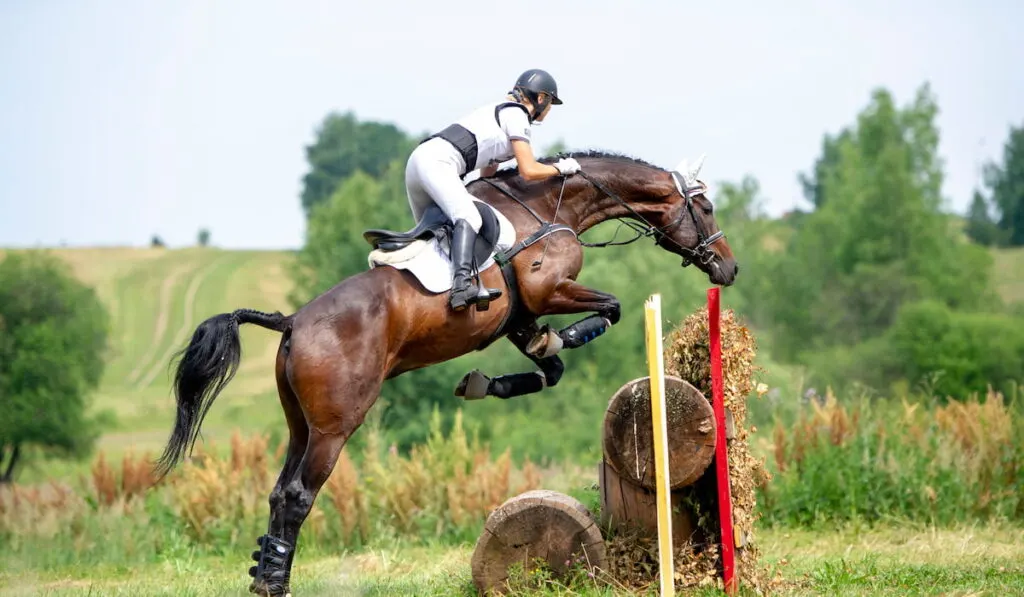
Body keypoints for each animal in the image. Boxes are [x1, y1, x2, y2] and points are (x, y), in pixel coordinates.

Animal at [151, 150, 737, 597]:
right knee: (297, 496)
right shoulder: (548, 292)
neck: (545, 209)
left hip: (302, 423)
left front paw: (486, 382)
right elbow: (609, 308)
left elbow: (548, 365)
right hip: (336, 426)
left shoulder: (518, 318)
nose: (729, 269)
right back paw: (276, 584)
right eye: (706, 207)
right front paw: (560, 337)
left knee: (279, 492)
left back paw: (264, 575)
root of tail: (292, 320)